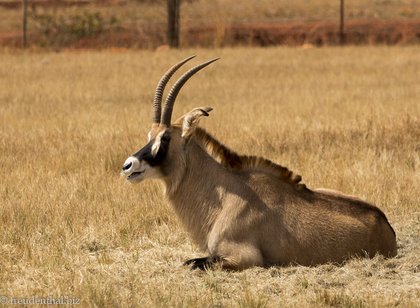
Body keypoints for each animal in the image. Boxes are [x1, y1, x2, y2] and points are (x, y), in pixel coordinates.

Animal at [121, 56, 398, 270]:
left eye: (165, 137)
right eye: (149, 134)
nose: (128, 165)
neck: (225, 195)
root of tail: (385, 224)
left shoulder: (244, 258)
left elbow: (194, 264)